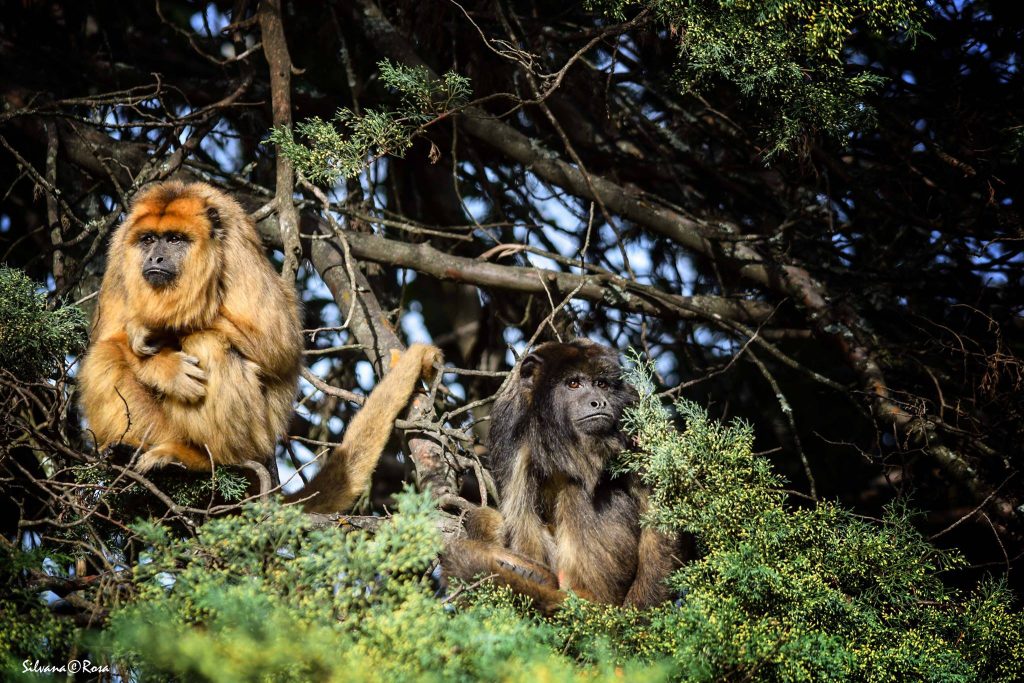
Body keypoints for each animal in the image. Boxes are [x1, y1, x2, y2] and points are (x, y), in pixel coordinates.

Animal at [78, 181, 440, 511]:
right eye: (148, 239)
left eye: (175, 239)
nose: (155, 256)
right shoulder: (118, 254)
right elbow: (107, 337)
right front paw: (164, 366)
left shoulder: (236, 250)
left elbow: (278, 344)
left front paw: (157, 326)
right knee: (104, 357)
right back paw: (128, 453)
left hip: (257, 436)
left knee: (206, 342)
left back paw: (202, 460)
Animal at [446, 339, 679, 610]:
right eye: (573, 383)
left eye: (601, 384)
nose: (599, 402)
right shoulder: (509, 422)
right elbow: (520, 514)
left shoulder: (632, 408)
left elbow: (659, 507)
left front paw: (641, 611)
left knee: (578, 492)